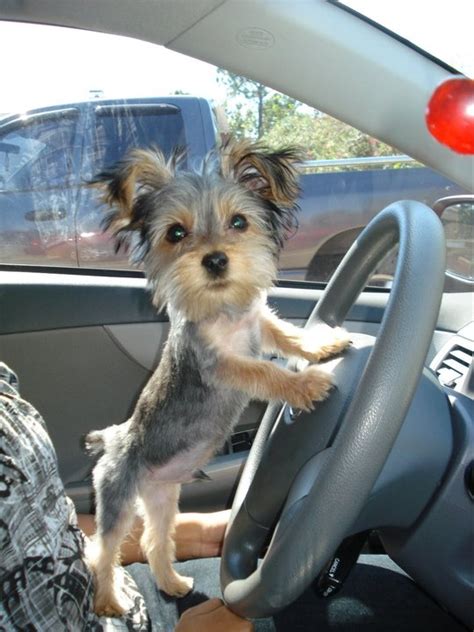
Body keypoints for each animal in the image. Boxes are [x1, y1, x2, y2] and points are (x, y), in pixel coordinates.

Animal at [85, 139, 350, 616]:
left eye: (239, 222)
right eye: (176, 233)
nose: (214, 260)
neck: (225, 311)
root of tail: (112, 437)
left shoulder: (260, 325)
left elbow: (288, 336)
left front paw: (322, 346)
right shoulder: (222, 365)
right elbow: (265, 370)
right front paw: (305, 385)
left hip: (161, 496)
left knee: (154, 540)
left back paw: (171, 583)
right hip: (116, 498)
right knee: (102, 550)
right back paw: (109, 601)